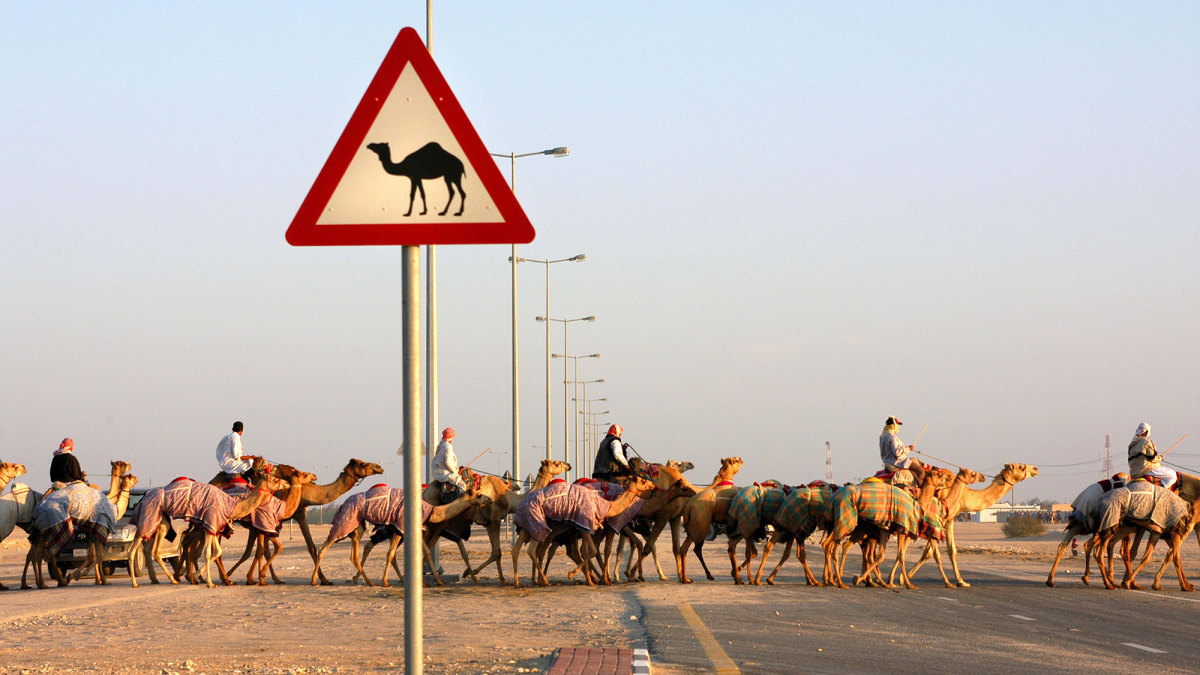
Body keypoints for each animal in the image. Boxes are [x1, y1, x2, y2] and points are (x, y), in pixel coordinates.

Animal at [902, 458, 1036, 586]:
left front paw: (905, 577)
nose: (1035, 468)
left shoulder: (945, 520)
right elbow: (944, 551)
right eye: (1021, 466)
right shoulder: (944, 519)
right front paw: (960, 581)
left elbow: (935, 551)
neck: (962, 496)